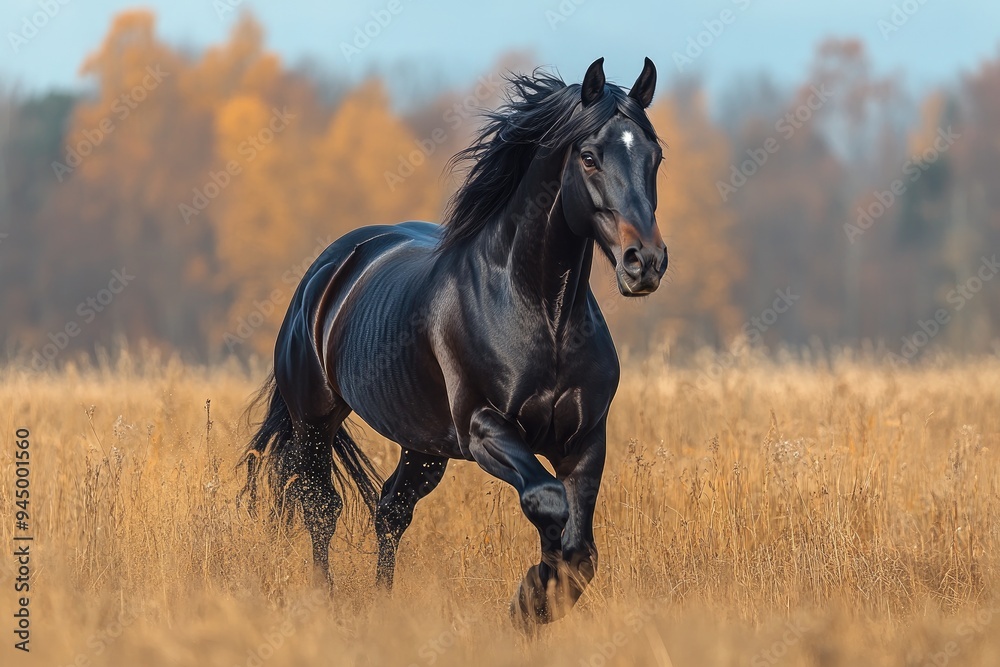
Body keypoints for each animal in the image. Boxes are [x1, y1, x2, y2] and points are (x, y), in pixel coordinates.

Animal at [241, 56, 666, 628]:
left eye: (654, 157)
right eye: (590, 157)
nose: (645, 263)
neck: (543, 314)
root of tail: (329, 269)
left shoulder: (584, 441)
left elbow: (579, 551)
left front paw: (539, 604)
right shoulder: (484, 429)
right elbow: (547, 503)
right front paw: (527, 603)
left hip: (422, 446)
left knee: (391, 510)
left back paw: (382, 606)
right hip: (315, 421)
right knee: (321, 509)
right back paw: (326, 603)